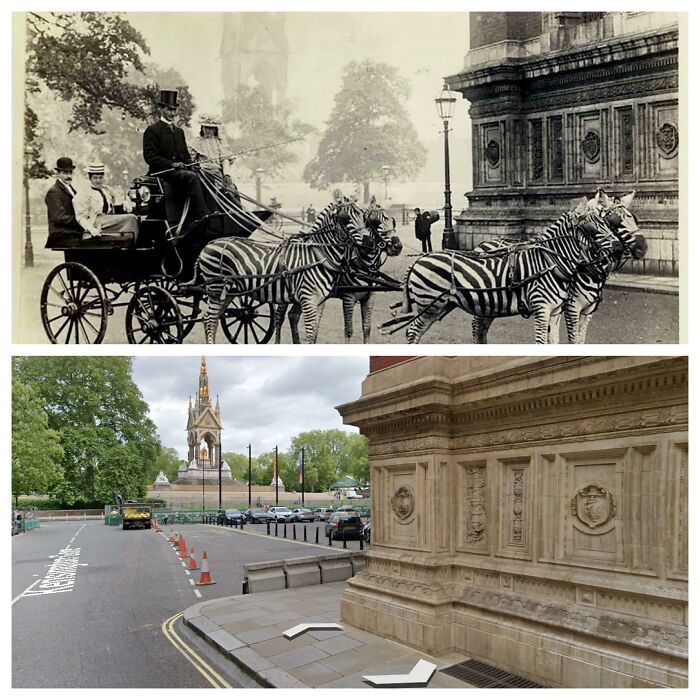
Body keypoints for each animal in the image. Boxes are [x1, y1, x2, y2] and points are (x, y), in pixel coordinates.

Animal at [197, 193, 380, 344]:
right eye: (345, 218)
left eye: (363, 216)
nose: (369, 242)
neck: (318, 255)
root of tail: (209, 244)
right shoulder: (308, 300)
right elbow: (309, 335)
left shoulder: (319, 301)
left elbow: (314, 335)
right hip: (216, 290)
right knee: (209, 319)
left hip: (228, 293)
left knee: (214, 319)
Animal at [274, 197, 402, 344]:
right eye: (374, 221)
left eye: (393, 221)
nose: (398, 246)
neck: (364, 264)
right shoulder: (348, 298)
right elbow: (348, 330)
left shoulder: (370, 298)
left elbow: (367, 329)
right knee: (279, 317)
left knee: (293, 315)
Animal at [378, 196, 616, 344]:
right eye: (592, 226)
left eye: (606, 222)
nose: (616, 247)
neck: (549, 261)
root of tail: (419, 259)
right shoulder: (543, 308)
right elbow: (542, 342)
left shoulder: (556, 311)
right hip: (430, 305)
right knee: (412, 332)